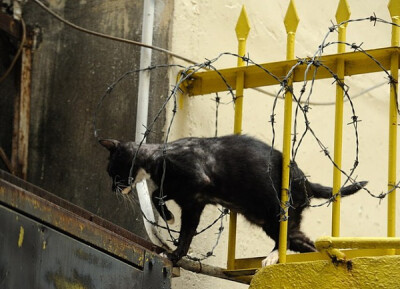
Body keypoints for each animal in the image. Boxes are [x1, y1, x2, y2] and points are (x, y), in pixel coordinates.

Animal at [99, 134, 366, 264]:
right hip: (268, 220)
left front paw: (169, 218)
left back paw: (273, 257)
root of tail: (306, 182)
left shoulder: (197, 182)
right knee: (299, 240)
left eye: (113, 172)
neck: (155, 158)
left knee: (287, 238)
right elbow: (184, 232)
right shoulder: (194, 202)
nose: (112, 188)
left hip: (277, 212)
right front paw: (175, 255)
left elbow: (157, 194)